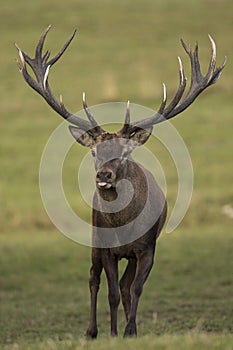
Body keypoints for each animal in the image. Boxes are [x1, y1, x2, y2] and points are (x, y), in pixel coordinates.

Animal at [15, 26, 226, 338]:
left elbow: (135, 289)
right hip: (95, 241)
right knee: (94, 278)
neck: (124, 227)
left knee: (126, 286)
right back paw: (92, 331)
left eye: (126, 152)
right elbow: (112, 292)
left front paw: (130, 330)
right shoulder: (107, 249)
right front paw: (114, 333)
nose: (104, 175)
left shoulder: (147, 248)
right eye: (94, 151)